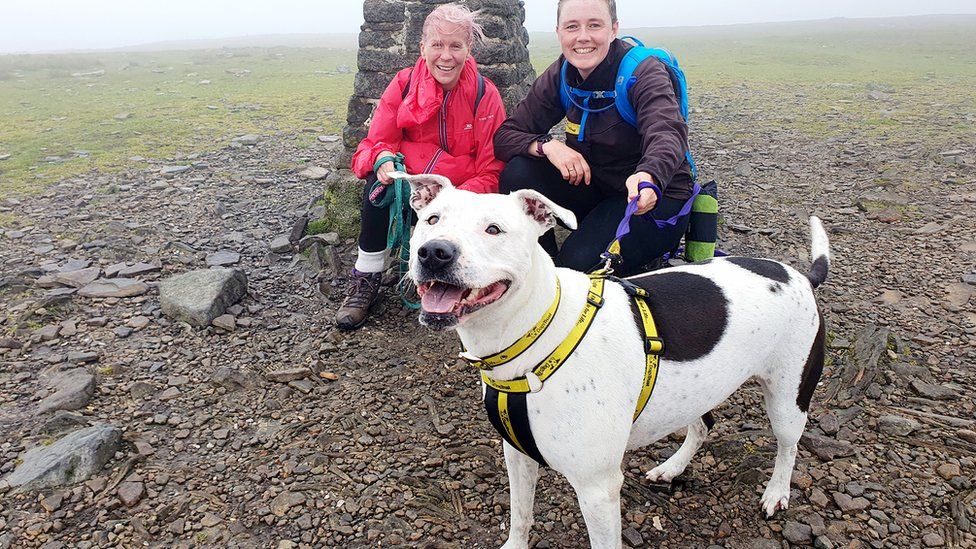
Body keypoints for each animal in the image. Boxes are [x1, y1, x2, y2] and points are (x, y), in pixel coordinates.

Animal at [396, 169, 832, 544]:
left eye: (493, 229)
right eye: (432, 220)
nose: (434, 252)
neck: (535, 341)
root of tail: (800, 275)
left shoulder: (597, 488)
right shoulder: (517, 457)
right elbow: (521, 516)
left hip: (788, 400)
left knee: (788, 446)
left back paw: (776, 492)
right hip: (698, 390)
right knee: (704, 424)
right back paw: (672, 467)